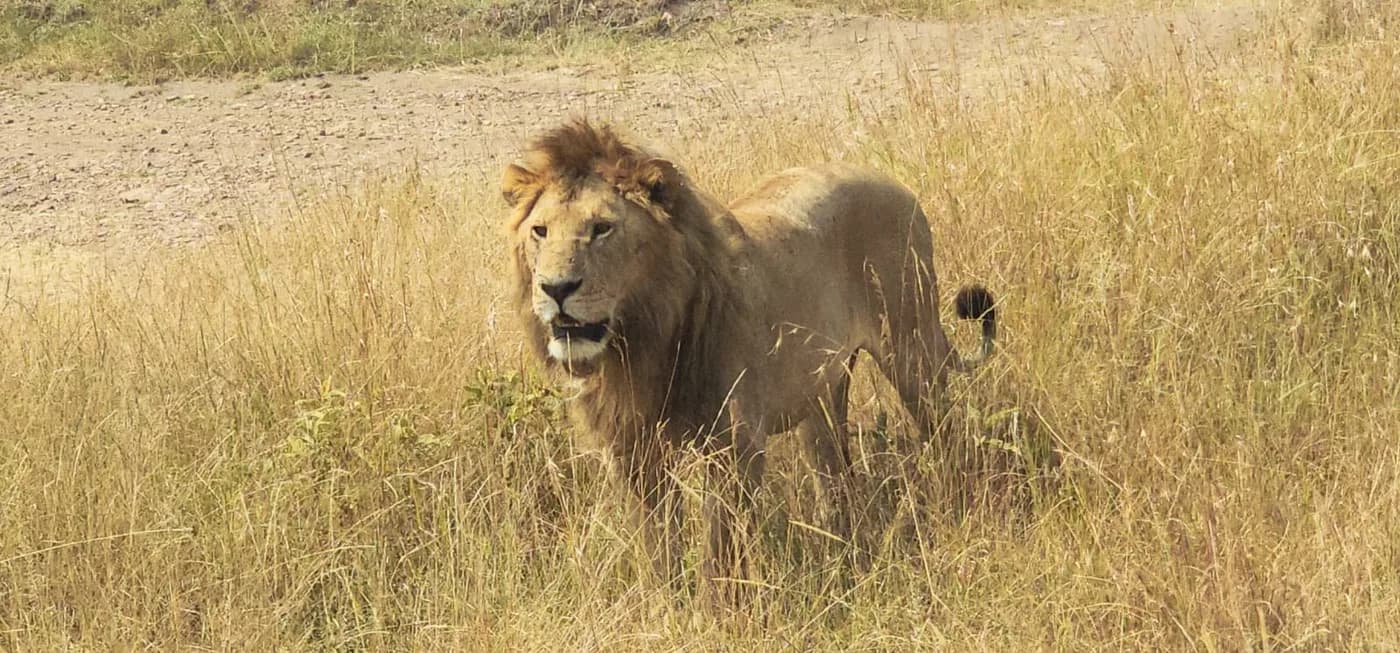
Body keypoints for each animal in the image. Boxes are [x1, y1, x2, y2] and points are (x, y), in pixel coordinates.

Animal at [501, 119, 996, 607]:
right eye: (540, 231)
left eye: (602, 228)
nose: (555, 288)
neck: (641, 343)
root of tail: (894, 184)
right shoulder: (631, 450)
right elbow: (657, 544)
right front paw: (666, 608)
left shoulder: (734, 445)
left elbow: (719, 550)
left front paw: (716, 615)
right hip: (822, 389)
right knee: (834, 472)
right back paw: (840, 549)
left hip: (912, 351)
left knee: (948, 436)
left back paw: (962, 509)